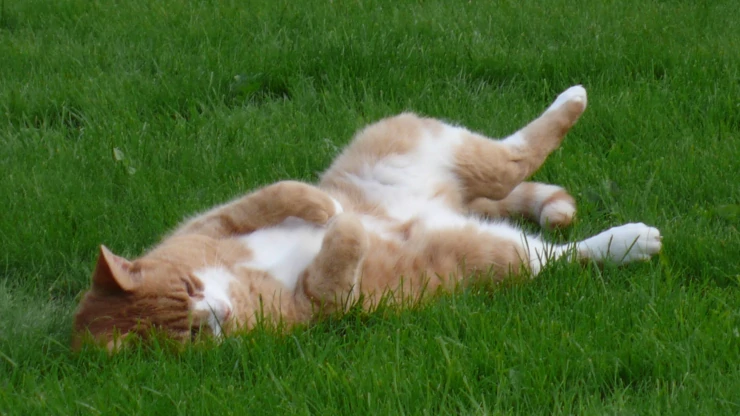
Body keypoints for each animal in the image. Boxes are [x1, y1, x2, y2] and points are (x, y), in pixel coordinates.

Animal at [72, 85, 662, 351]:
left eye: (190, 286)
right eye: (192, 333)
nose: (217, 310)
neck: (230, 282)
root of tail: (450, 206)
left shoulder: (209, 222)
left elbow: (275, 195)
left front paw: (322, 209)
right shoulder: (320, 308)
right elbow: (336, 265)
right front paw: (345, 226)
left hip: (419, 142)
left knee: (510, 161)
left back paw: (570, 102)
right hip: (499, 256)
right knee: (557, 246)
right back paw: (631, 241)